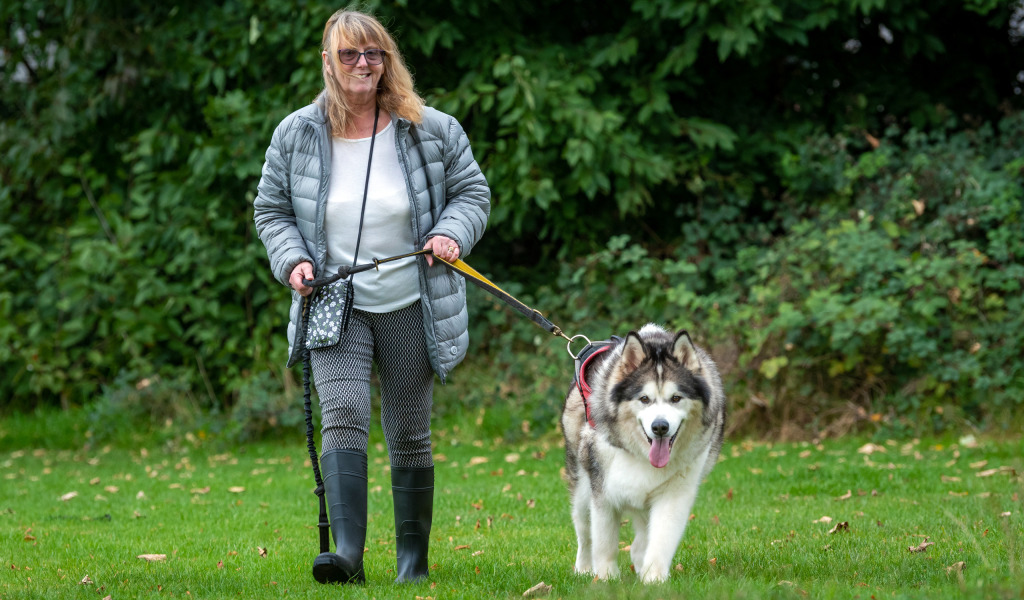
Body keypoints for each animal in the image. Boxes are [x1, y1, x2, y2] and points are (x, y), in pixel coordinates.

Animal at [561, 325, 729, 581]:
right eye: (644, 399)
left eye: (676, 398)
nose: (660, 427)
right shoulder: (603, 491)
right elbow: (604, 541)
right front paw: (607, 578)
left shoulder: (675, 493)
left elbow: (660, 539)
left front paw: (654, 579)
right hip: (581, 486)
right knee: (584, 531)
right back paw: (584, 568)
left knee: (641, 537)